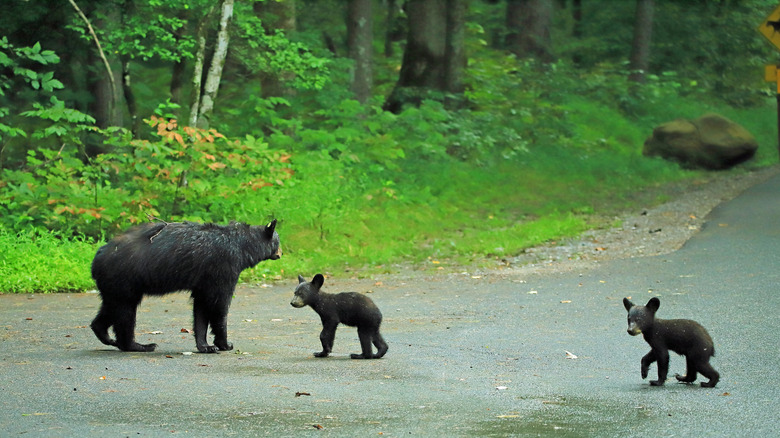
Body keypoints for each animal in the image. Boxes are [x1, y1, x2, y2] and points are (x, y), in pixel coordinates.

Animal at [90, 219, 281, 353]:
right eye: (277, 242)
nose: (281, 253)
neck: (242, 245)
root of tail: (97, 257)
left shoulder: (204, 281)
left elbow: (201, 309)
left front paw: (205, 346)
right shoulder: (224, 268)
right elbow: (219, 305)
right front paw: (224, 343)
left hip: (117, 285)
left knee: (112, 308)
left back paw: (104, 334)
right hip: (124, 278)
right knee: (125, 313)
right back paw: (139, 345)